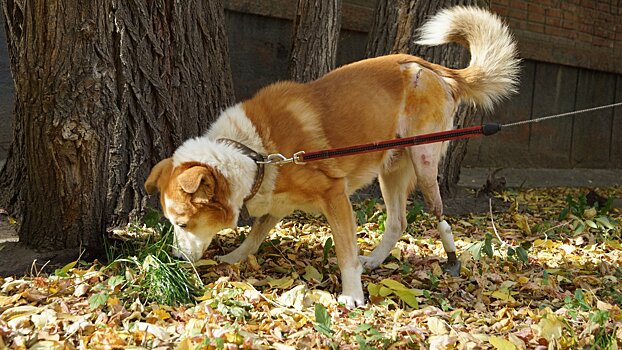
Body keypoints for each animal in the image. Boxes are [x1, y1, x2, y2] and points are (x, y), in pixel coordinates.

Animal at [146, 4, 520, 306]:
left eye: (182, 223)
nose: (176, 258)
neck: (254, 153)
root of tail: (434, 69)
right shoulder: (277, 200)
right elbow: (255, 235)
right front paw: (234, 257)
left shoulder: (334, 195)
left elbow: (345, 253)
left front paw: (352, 295)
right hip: (390, 170)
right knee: (398, 221)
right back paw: (376, 259)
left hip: (423, 159)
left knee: (436, 213)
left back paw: (451, 257)